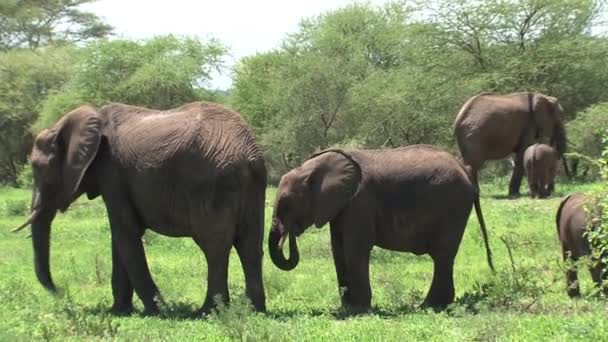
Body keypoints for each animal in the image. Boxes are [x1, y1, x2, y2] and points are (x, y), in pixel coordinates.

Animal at [11, 101, 266, 316]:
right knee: (249, 246)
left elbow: (125, 233)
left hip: (213, 185)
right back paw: (254, 310)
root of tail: (247, 152)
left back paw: (206, 312)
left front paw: (160, 312)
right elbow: (120, 239)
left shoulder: (112, 172)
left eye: (40, 170)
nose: (61, 291)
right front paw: (120, 311)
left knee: (214, 248)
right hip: (253, 186)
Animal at [268, 144, 496, 312]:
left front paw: (359, 309)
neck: (314, 167)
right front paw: (347, 308)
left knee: (442, 255)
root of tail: (465, 170)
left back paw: (429, 306)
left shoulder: (360, 202)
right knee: (444, 257)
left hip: (452, 205)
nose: (289, 234)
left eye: (286, 204)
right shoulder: (343, 206)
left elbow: (354, 250)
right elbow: (338, 250)